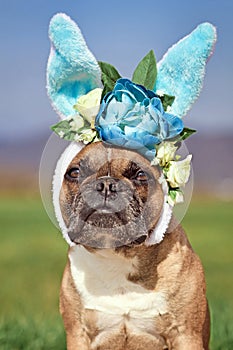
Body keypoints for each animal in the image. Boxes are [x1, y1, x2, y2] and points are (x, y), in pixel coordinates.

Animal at [56, 142, 209, 350]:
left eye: (141, 175)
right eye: (74, 172)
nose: (106, 184)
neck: (117, 256)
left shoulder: (185, 334)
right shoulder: (78, 333)